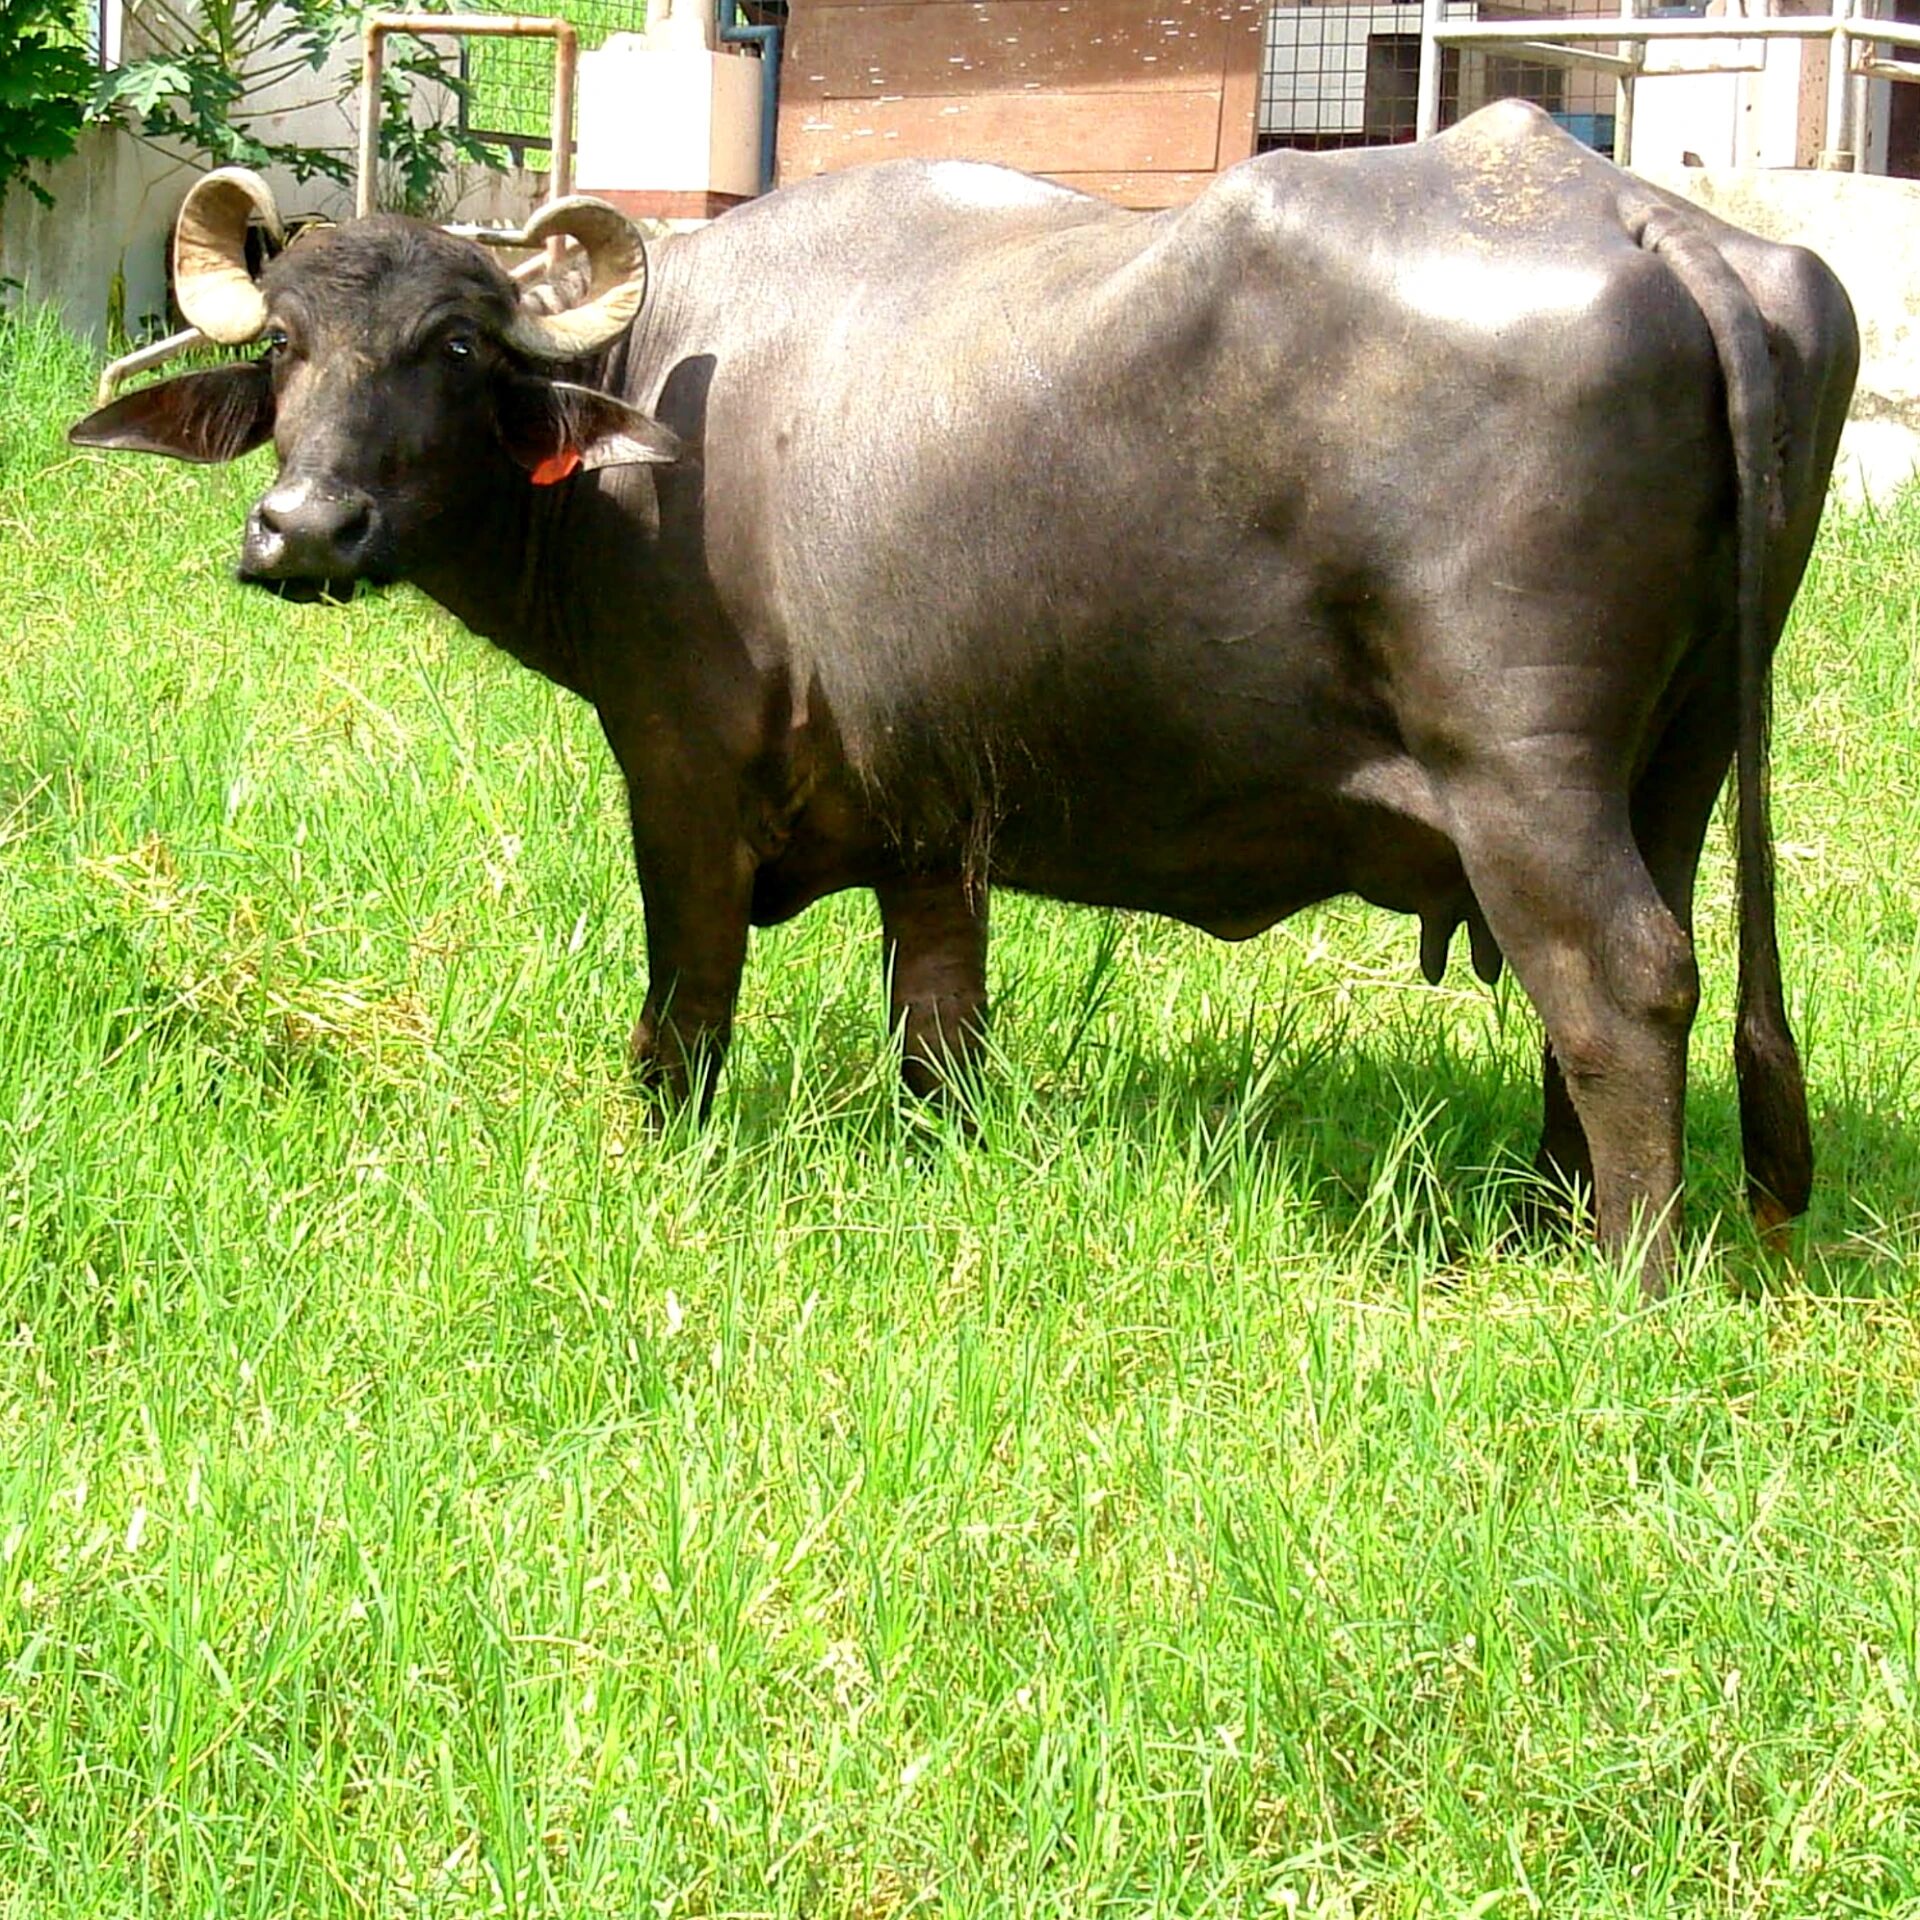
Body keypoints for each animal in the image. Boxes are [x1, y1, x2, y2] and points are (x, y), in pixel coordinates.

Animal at [70, 100, 1859, 1287]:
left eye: (451, 346)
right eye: (286, 345)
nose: (303, 529)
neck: (662, 407)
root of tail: (1630, 215)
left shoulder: (679, 765)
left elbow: (685, 1000)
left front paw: (661, 1142)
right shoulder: (934, 810)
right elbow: (939, 1018)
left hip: (1519, 764)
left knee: (1621, 977)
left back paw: (1625, 1272)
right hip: (1682, 757)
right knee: (1624, 970)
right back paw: (1551, 1216)